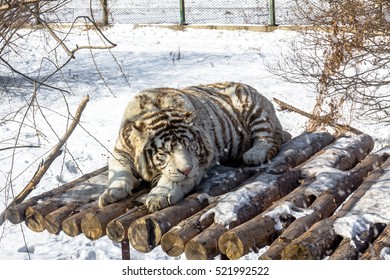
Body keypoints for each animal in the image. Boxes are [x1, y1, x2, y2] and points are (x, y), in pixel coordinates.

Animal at [99, 82, 284, 211]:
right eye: (165, 152)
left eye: (190, 146)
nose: (186, 170)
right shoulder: (120, 151)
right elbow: (119, 171)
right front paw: (111, 193)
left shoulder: (199, 164)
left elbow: (173, 178)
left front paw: (159, 195)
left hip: (254, 110)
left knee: (265, 138)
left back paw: (253, 155)